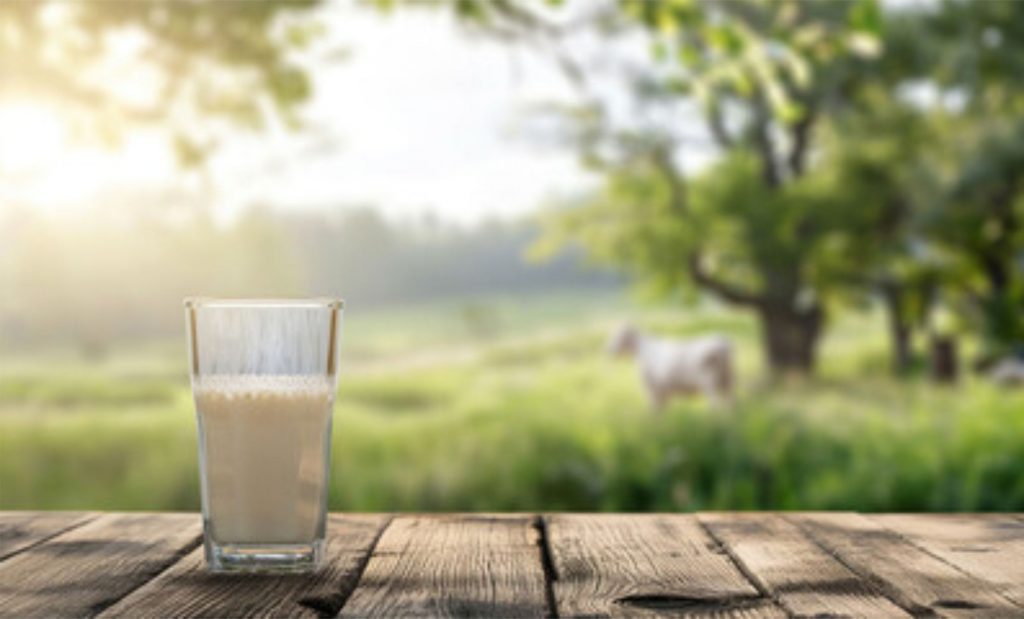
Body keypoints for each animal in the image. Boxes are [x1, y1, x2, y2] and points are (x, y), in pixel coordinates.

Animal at [606, 323, 737, 411]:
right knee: (730, 405)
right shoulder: (663, 392)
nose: (608, 350)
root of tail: (723, 342)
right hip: (727, 382)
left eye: (619, 335)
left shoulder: (652, 390)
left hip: (709, 384)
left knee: (715, 405)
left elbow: (654, 412)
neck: (643, 350)